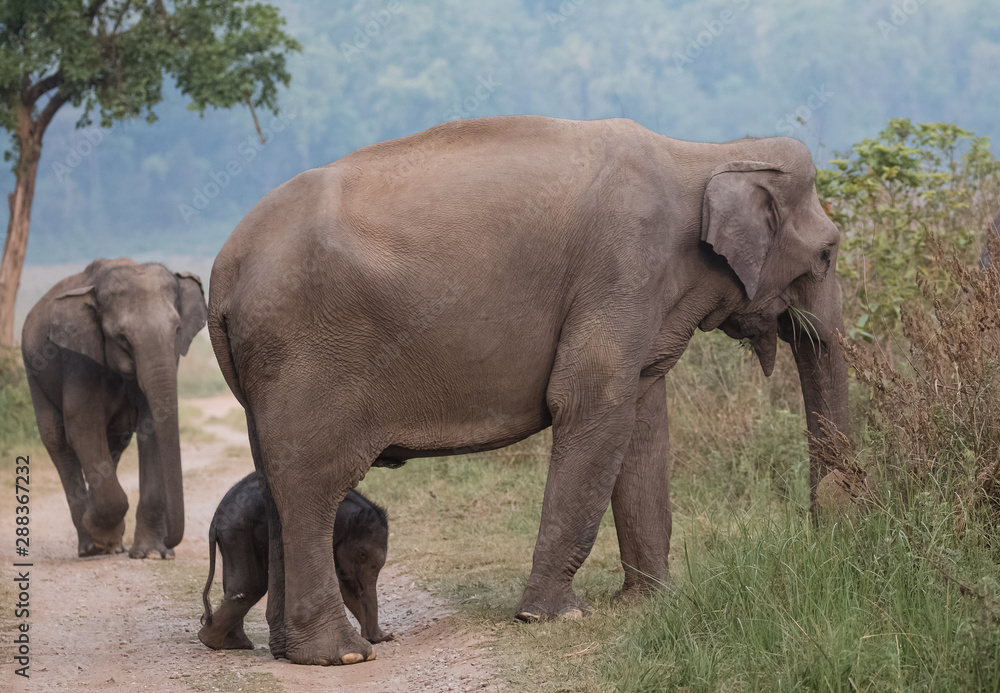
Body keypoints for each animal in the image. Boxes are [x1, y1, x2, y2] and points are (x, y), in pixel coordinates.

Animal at [21, 258, 207, 556]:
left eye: (178, 330)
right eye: (122, 337)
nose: (170, 544)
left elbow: (150, 429)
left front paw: (151, 554)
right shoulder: (79, 358)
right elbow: (82, 428)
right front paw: (103, 537)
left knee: (115, 441)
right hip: (33, 370)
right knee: (56, 439)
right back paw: (91, 546)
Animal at [200, 470, 394, 648]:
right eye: (362, 554)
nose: (376, 637)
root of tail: (216, 520)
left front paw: (384, 637)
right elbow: (338, 582)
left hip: (231, 537)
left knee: (236, 586)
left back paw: (232, 643)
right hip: (239, 533)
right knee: (251, 585)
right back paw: (217, 641)